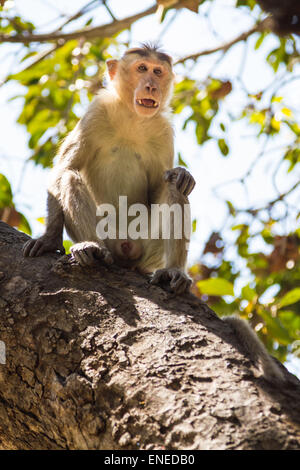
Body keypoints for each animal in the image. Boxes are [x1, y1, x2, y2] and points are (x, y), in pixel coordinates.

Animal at [24, 44, 197, 294]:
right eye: (142, 68)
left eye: (158, 72)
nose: (151, 86)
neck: (133, 117)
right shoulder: (95, 113)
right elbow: (64, 169)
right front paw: (49, 239)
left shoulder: (163, 131)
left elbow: (159, 187)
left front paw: (182, 173)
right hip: (108, 237)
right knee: (69, 178)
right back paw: (91, 247)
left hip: (148, 248)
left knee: (175, 187)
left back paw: (173, 270)